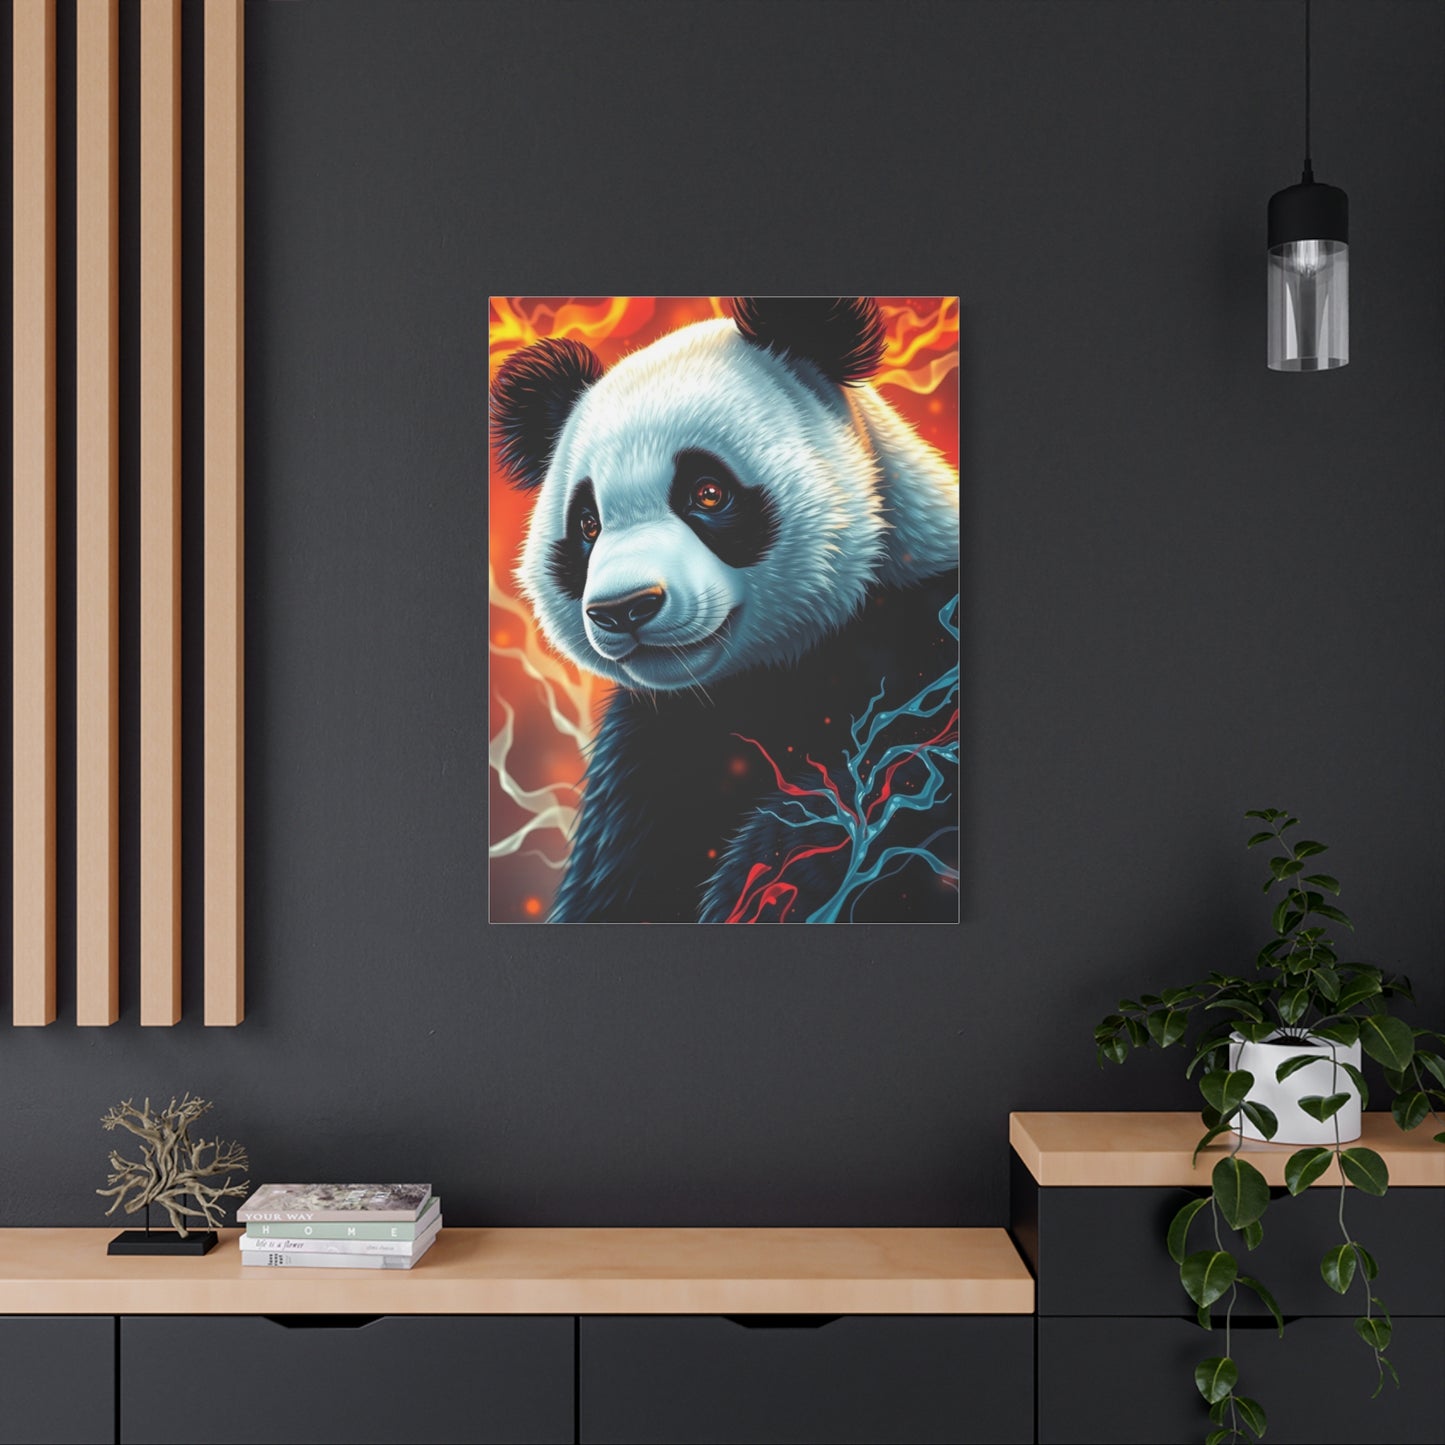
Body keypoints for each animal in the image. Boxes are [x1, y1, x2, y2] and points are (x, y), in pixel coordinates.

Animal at [491, 297, 959, 923]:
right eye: (587, 524)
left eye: (708, 492)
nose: (624, 609)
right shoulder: (649, 754)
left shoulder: (926, 646)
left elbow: (897, 797)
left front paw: (766, 874)